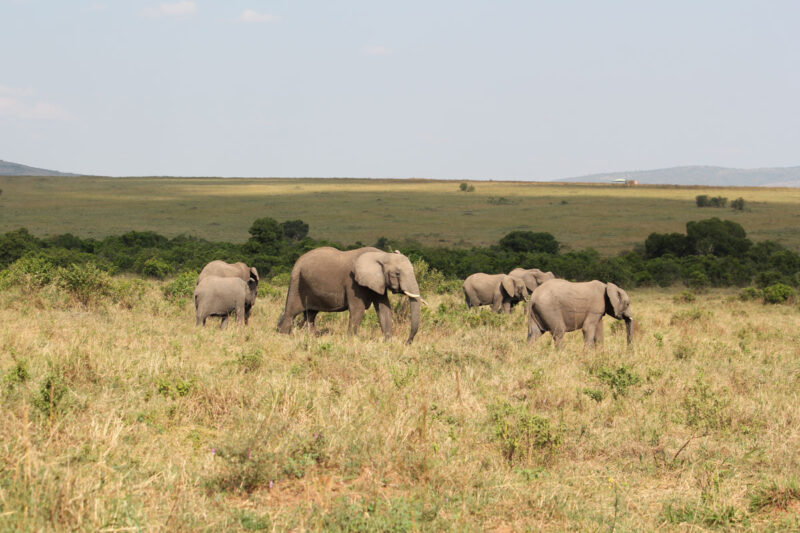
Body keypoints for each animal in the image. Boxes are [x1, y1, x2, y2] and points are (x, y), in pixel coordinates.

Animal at [276, 246, 424, 342]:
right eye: (397, 273)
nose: (407, 342)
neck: (382, 255)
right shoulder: (353, 282)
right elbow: (358, 310)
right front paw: (352, 341)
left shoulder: (378, 282)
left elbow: (384, 308)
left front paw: (388, 342)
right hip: (297, 281)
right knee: (291, 313)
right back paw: (284, 337)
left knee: (310, 315)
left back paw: (311, 337)